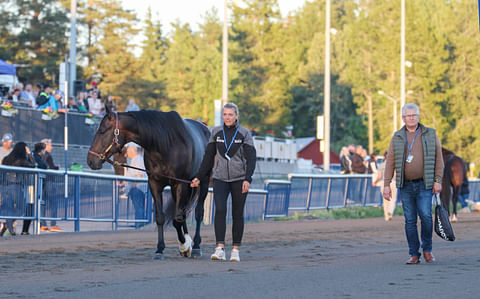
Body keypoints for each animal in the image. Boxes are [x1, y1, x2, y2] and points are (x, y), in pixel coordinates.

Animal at [86, 105, 210, 260]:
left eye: (102, 131)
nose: (90, 160)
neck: (165, 145)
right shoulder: (155, 184)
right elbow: (161, 217)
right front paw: (161, 249)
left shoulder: (180, 184)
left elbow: (177, 219)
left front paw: (184, 245)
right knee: (183, 212)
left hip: (202, 183)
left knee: (198, 213)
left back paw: (196, 246)